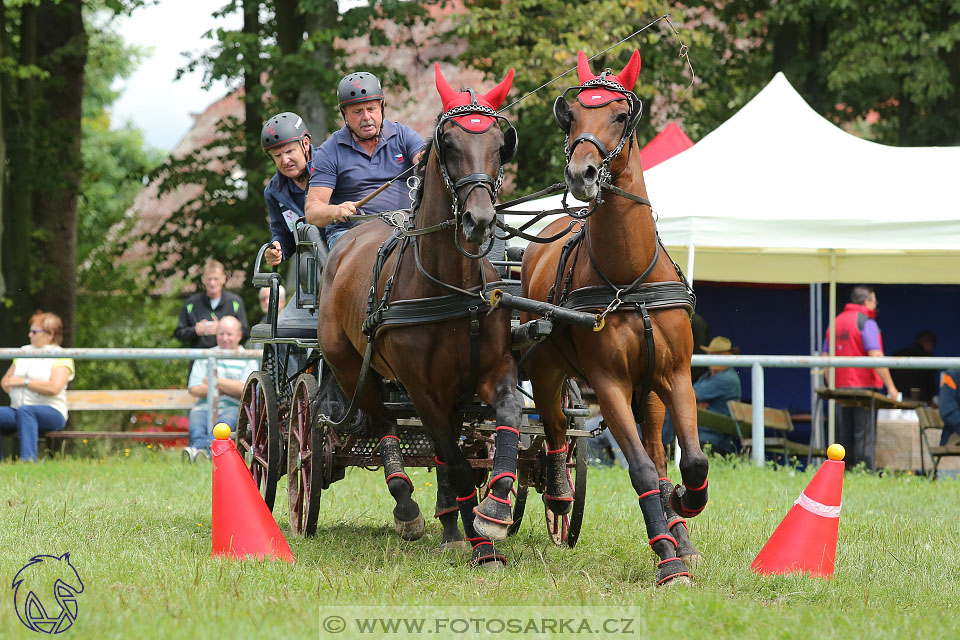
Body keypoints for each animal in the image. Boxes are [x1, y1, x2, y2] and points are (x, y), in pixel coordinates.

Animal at [316, 63, 520, 564]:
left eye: (499, 143)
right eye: (449, 143)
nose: (479, 220)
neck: (452, 287)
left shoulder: (492, 370)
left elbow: (505, 419)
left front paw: (493, 510)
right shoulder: (423, 390)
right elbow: (459, 464)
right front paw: (481, 545)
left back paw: (449, 523)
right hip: (352, 369)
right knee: (386, 423)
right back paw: (408, 506)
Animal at [520, 52, 708, 588]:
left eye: (621, 115)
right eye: (572, 116)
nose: (581, 174)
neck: (628, 280)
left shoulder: (675, 375)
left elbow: (692, 460)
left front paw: (681, 508)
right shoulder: (607, 384)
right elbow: (639, 470)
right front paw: (667, 562)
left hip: (652, 392)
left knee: (661, 451)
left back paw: (679, 526)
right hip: (545, 370)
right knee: (555, 429)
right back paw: (560, 493)